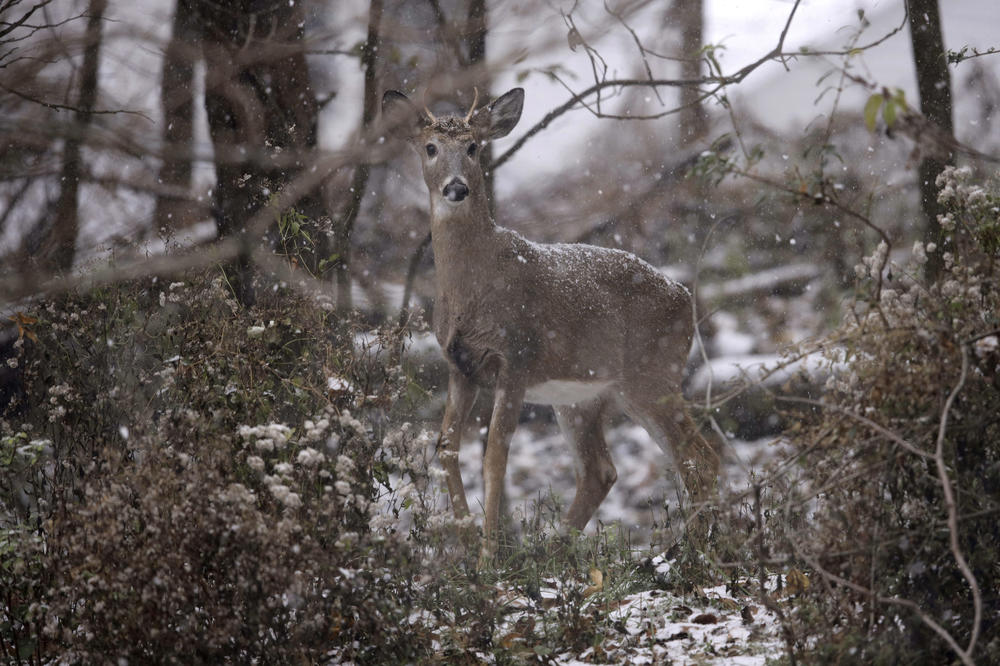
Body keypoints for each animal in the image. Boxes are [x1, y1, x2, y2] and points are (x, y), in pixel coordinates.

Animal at [382, 85, 720, 556]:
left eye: (473, 147)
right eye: (430, 148)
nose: (456, 187)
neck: (472, 289)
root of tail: (685, 297)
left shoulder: (516, 356)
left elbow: (495, 456)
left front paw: (488, 554)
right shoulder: (459, 365)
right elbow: (447, 446)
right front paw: (465, 542)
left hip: (652, 375)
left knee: (700, 458)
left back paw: (698, 549)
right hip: (581, 396)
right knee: (603, 469)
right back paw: (556, 547)